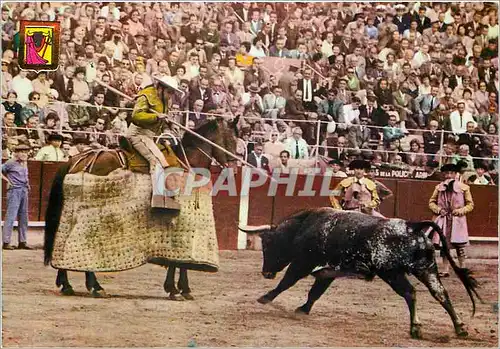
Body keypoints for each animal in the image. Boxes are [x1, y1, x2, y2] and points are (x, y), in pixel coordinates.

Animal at [43, 119, 238, 300]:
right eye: (231, 140)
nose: (234, 169)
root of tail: (75, 160)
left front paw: (179, 289)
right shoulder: (182, 225)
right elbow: (180, 261)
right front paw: (177, 290)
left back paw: (68, 285)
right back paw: (96, 287)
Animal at [240, 207, 482, 338]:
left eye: (267, 246)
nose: (265, 273)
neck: (304, 227)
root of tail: (412, 226)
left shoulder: (303, 263)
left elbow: (287, 282)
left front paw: (265, 298)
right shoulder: (328, 271)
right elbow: (315, 292)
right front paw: (303, 309)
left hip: (392, 273)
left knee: (410, 293)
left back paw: (416, 328)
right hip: (427, 269)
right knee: (441, 294)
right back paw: (460, 328)